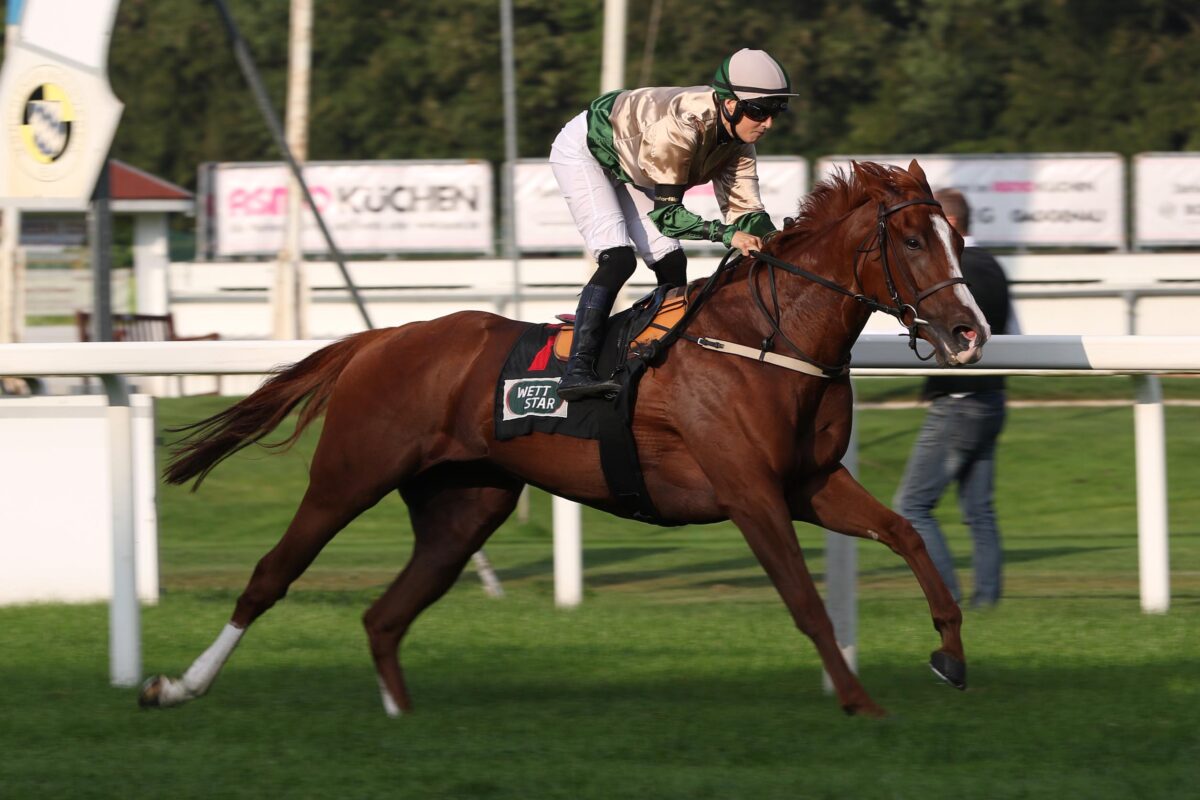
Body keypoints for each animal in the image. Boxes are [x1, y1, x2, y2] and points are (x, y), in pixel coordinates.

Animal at [138, 160, 984, 719]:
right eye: (913, 240)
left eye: (956, 235)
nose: (968, 333)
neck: (764, 339)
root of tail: (382, 338)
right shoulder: (749, 491)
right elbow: (806, 600)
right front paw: (859, 700)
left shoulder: (809, 485)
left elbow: (906, 534)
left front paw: (950, 654)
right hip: (349, 474)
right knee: (272, 575)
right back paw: (177, 685)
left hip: (466, 507)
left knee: (385, 614)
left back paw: (402, 718)